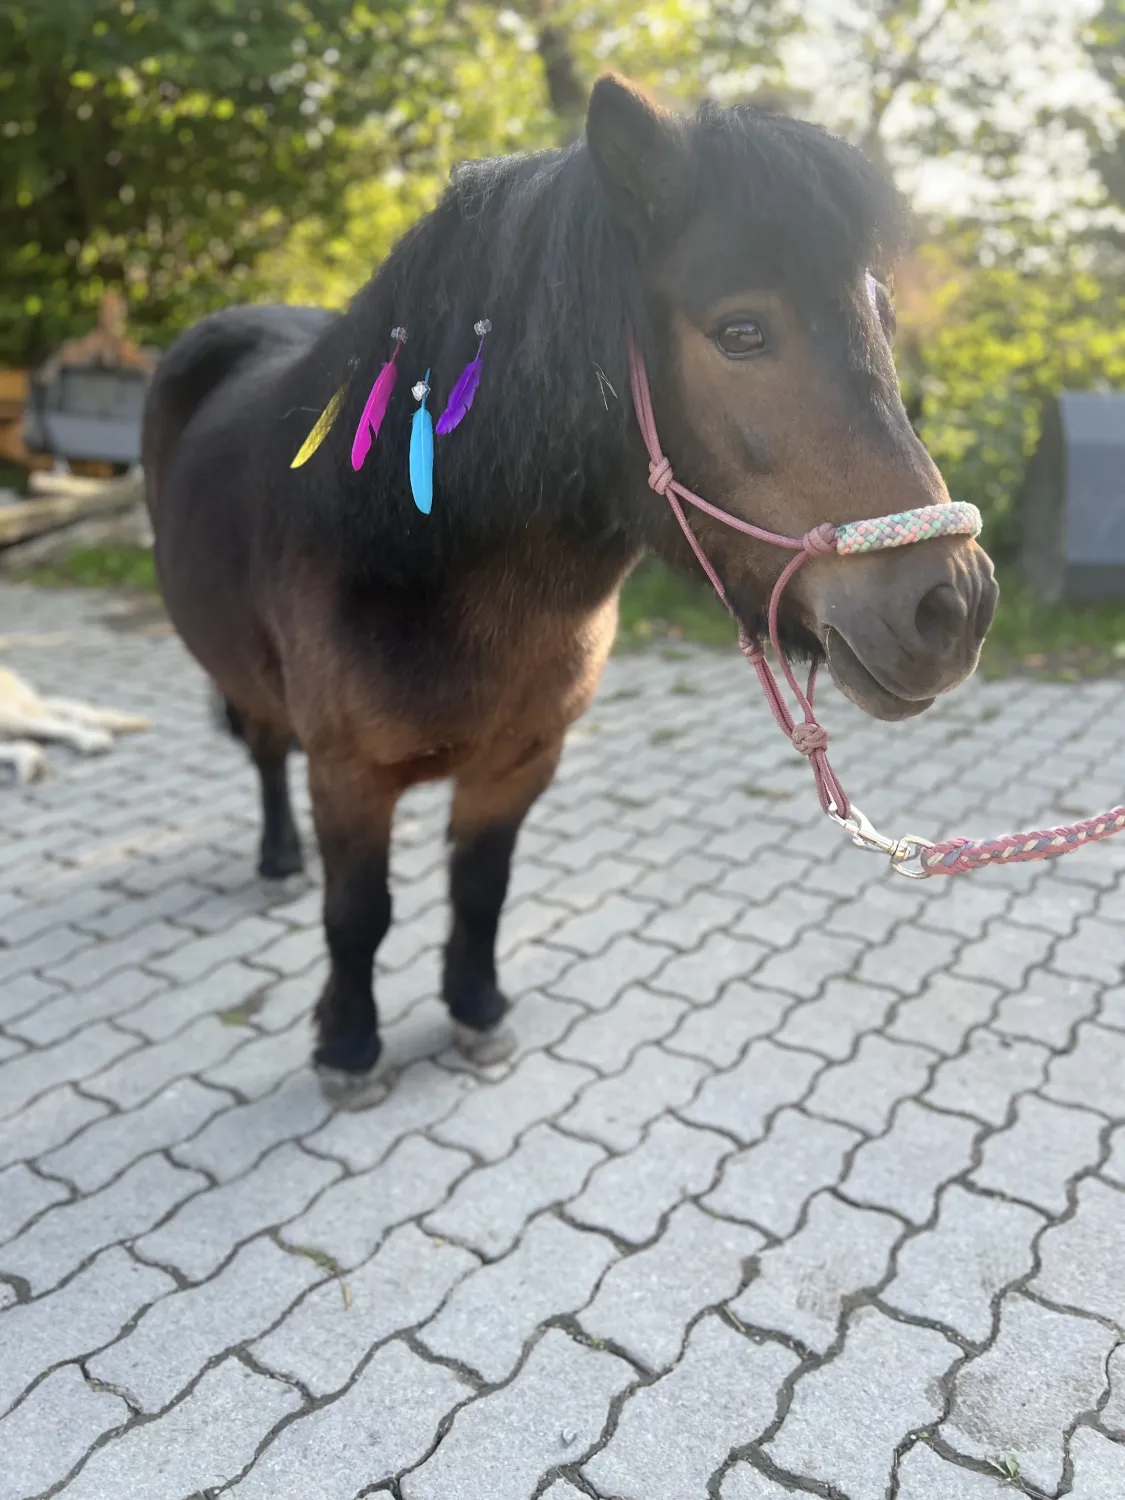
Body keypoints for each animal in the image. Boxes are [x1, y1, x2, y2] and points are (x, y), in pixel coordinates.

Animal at [142, 75, 996, 1097]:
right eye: (741, 332)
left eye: (883, 319)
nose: (953, 606)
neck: (415, 564)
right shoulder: (346, 773)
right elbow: (359, 914)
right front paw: (347, 1047)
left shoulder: (522, 760)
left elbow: (480, 892)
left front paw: (475, 1010)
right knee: (264, 747)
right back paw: (278, 860)